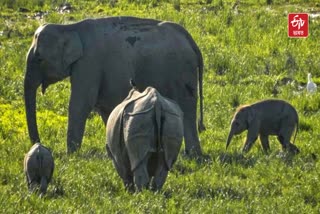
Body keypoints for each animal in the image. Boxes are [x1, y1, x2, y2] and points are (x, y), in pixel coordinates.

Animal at [24, 15, 205, 155]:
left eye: (39, 58)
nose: (41, 145)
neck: (69, 28)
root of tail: (190, 40)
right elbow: (105, 108)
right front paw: (112, 153)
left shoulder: (89, 63)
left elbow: (80, 104)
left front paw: (72, 156)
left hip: (182, 72)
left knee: (187, 109)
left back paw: (193, 155)